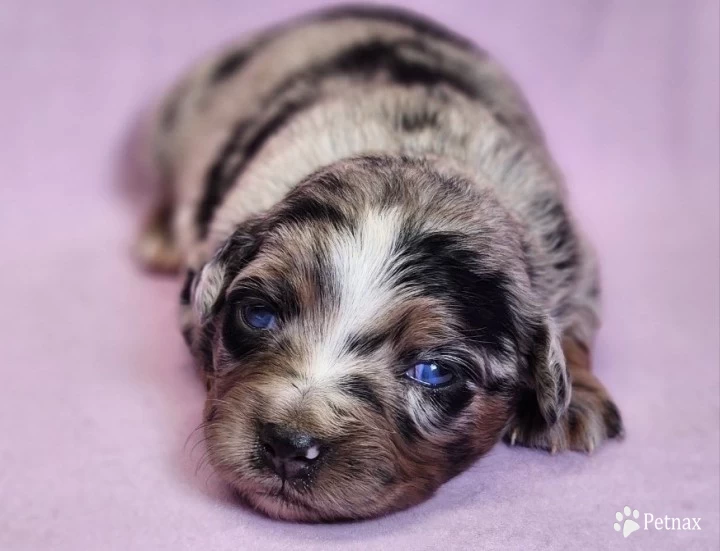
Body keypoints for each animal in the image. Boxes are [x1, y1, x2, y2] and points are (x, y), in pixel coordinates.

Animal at [135, 4, 624, 520]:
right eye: (258, 315)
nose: (288, 445)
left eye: (434, 371)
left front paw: (573, 404)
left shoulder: (570, 253)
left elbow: (572, 326)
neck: (419, 154)